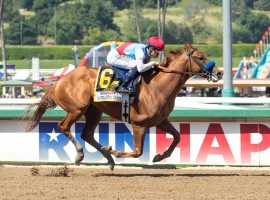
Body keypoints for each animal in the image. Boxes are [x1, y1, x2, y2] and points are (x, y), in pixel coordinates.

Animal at [24, 43, 221, 170]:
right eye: (201, 57)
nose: (219, 73)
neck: (157, 87)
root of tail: (59, 80)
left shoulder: (160, 120)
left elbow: (178, 137)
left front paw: (159, 156)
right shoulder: (139, 124)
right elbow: (138, 152)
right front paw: (117, 152)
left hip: (94, 111)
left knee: (87, 134)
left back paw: (108, 157)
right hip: (76, 109)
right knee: (63, 127)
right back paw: (82, 154)